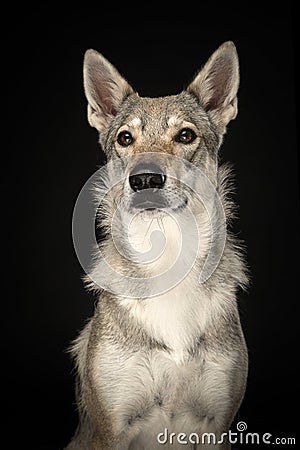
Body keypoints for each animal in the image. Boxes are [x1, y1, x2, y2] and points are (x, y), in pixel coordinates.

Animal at [67, 40, 250, 448]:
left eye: (185, 136)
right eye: (125, 138)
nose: (145, 179)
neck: (169, 256)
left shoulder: (218, 424)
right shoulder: (111, 429)